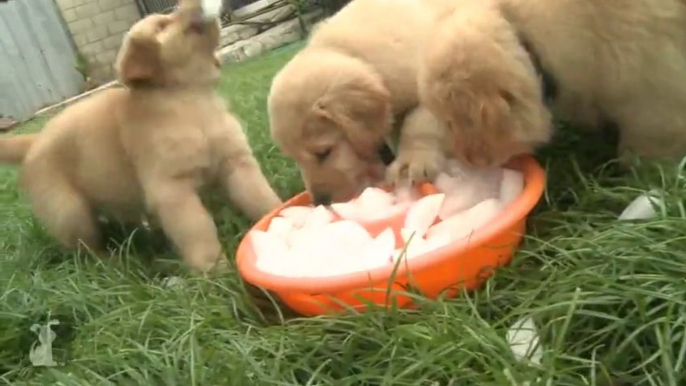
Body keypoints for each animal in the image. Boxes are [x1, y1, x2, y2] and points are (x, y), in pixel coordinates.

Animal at [0, 0, 282, 274]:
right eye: (162, 25)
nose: (190, 3)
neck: (190, 98)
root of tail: (33, 141)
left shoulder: (237, 163)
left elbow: (259, 196)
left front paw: (278, 216)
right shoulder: (172, 190)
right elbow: (198, 230)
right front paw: (213, 270)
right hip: (69, 211)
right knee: (86, 247)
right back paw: (110, 263)